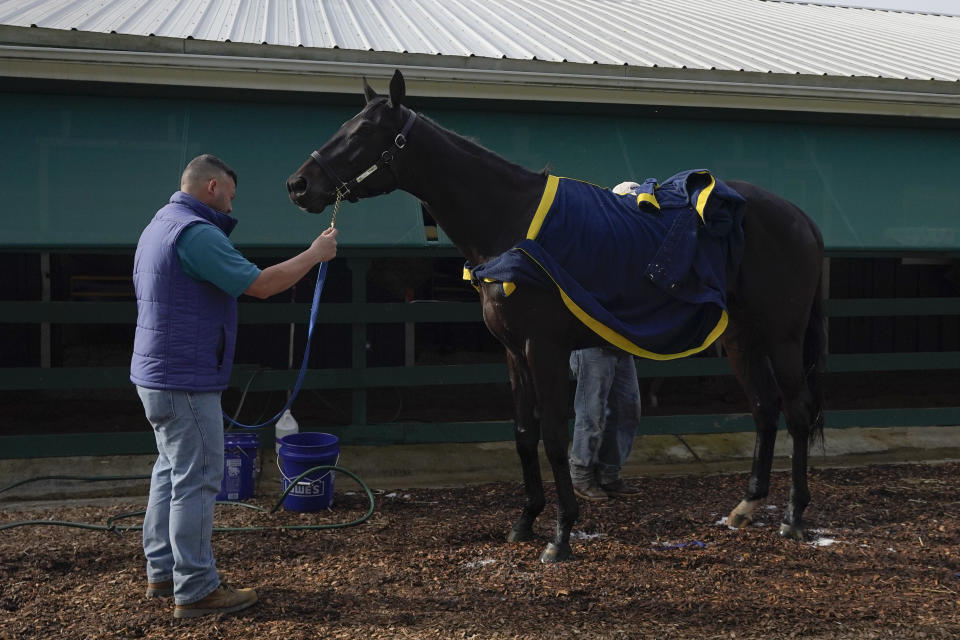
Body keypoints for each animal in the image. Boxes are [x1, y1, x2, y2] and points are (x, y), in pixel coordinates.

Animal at [284, 67, 824, 564]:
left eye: (362, 132)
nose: (298, 184)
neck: (510, 223)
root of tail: (799, 216)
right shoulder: (513, 352)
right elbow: (524, 436)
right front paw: (526, 520)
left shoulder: (543, 349)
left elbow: (554, 438)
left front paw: (561, 535)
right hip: (740, 339)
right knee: (764, 409)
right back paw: (746, 507)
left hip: (783, 337)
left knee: (797, 412)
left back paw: (794, 517)